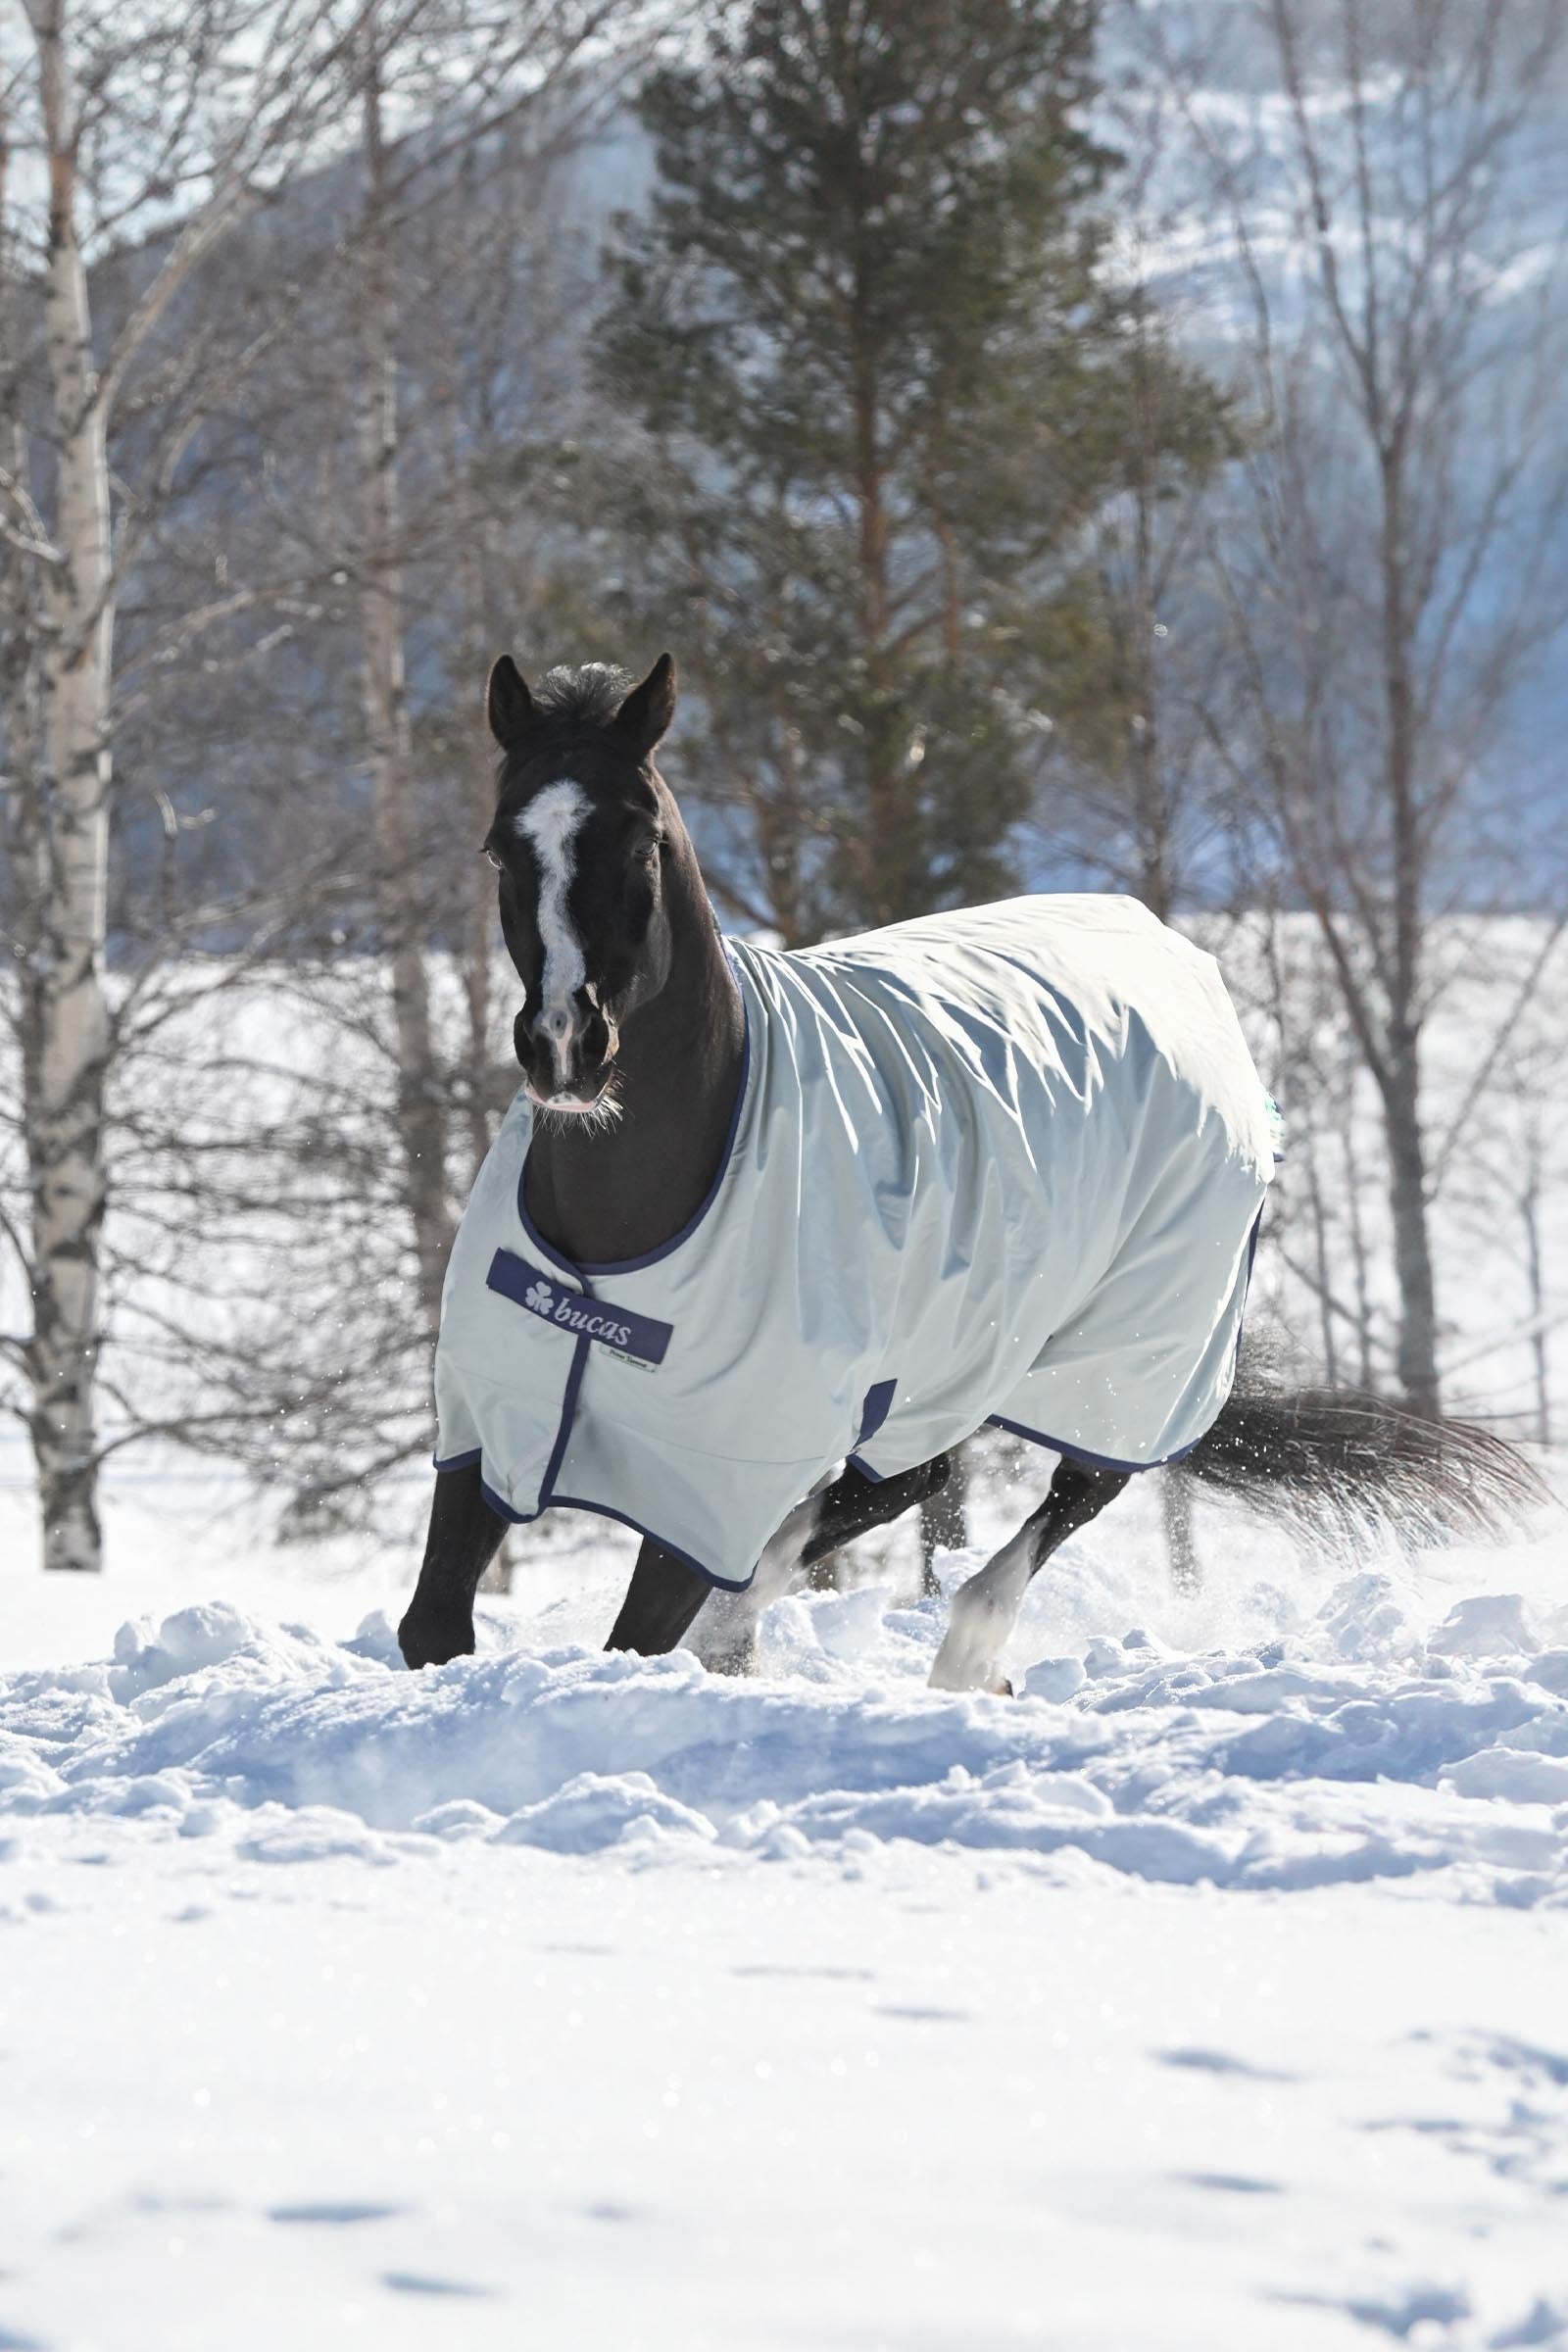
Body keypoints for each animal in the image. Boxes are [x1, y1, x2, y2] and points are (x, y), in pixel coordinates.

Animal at [397, 654, 1541, 1690]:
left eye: (639, 838)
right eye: (500, 848)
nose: (564, 1049)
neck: (630, 1234)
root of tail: (1178, 957)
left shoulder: (707, 1484)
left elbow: (638, 1641)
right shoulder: (488, 1431)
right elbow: (432, 1632)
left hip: (1126, 1363)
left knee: (1058, 1504)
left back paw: (967, 1664)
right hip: (948, 1369)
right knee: (901, 1487)